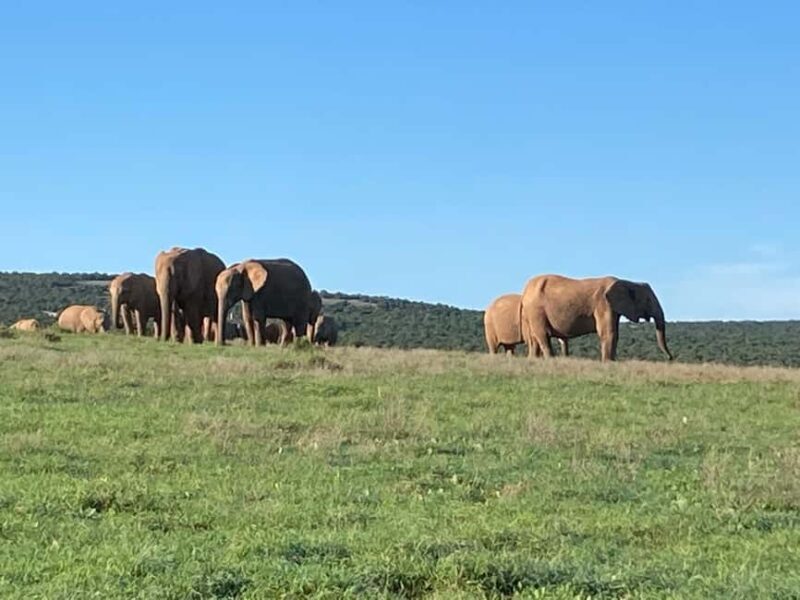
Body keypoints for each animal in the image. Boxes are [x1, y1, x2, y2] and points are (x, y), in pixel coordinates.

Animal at [520, 275, 672, 362]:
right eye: (648, 300)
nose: (670, 358)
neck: (628, 282)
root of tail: (525, 290)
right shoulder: (603, 303)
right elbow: (608, 333)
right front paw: (608, 363)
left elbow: (614, 334)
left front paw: (612, 362)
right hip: (536, 310)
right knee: (543, 336)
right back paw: (551, 360)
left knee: (535, 339)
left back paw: (533, 360)